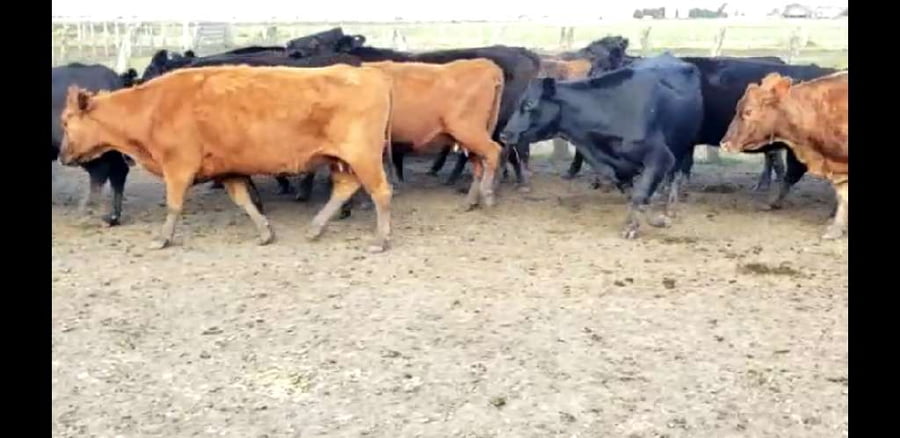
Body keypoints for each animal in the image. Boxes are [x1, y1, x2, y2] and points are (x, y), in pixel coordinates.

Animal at [500, 53, 704, 239]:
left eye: (529, 104)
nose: (504, 134)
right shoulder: (615, 168)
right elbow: (634, 194)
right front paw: (649, 219)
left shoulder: (660, 157)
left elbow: (641, 193)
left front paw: (638, 225)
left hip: (683, 147)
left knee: (675, 176)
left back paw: (671, 206)